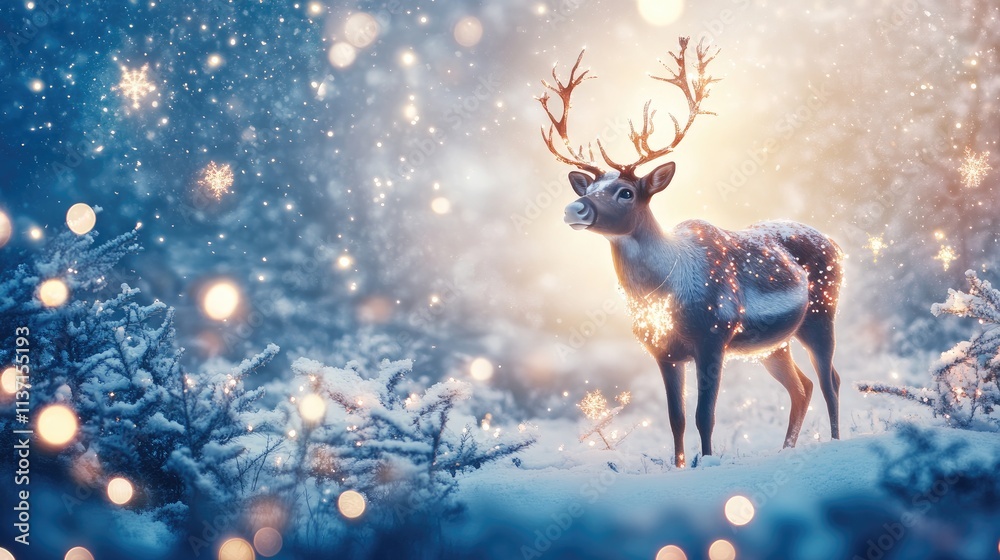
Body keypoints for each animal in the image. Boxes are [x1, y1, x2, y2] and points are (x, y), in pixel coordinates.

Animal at [538, 37, 844, 468]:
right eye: (589, 189)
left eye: (625, 192)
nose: (574, 209)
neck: (664, 292)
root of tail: (836, 243)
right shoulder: (663, 351)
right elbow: (676, 418)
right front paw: (680, 466)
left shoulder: (712, 337)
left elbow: (705, 415)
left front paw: (708, 462)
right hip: (774, 343)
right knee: (801, 387)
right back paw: (786, 450)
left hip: (821, 314)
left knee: (830, 379)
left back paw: (834, 443)